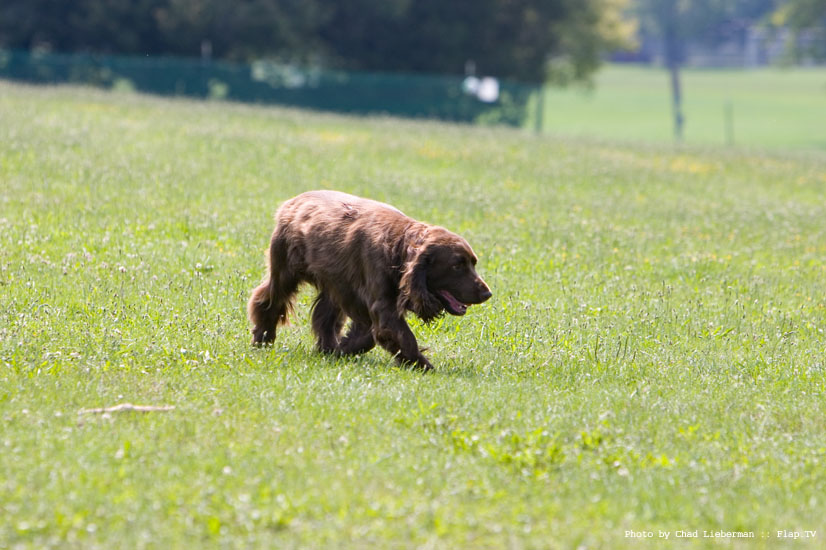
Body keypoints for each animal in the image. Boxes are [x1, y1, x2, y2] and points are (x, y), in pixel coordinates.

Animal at [245, 190, 490, 370]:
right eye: (457, 265)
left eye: (473, 262)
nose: (487, 294)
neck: (398, 249)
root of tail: (291, 202)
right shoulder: (381, 305)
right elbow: (404, 337)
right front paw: (423, 365)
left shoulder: (361, 302)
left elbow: (367, 336)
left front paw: (344, 349)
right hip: (285, 271)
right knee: (268, 301)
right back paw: (262, 340)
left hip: (334, 285)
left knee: (324, 318)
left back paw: (327, 349)